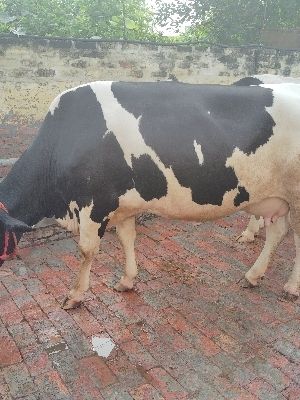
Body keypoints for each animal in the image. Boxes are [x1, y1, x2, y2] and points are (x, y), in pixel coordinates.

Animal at [0, 79, 300, 308]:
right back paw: (252, 276)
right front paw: (127, 280)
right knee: (277, 232)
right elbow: (127, 238)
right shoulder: (122, 204)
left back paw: (290, 287)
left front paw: (74, 296)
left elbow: (87, 250)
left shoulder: (94, 203)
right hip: (275, 198)